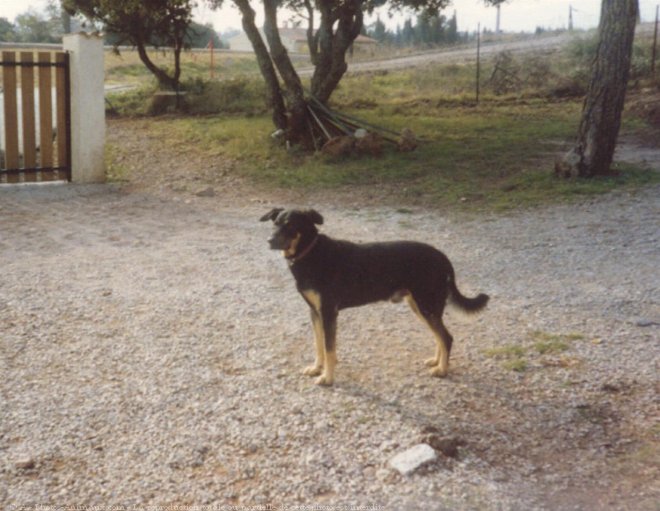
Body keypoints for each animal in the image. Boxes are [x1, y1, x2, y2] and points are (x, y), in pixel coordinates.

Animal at [260, 207, 488, 384]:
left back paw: (442, 370)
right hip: (419, 306)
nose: (269, 240)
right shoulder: (315, 312)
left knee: (446, 337)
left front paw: (327, 378)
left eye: (290, 225)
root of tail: (443, 257)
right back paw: (436, 361)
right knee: (439, 336)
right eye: (275, 223)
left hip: (427, 305)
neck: (310, 253)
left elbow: (329, 348)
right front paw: (317, 368)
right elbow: (319, 345)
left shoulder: (328, 312)